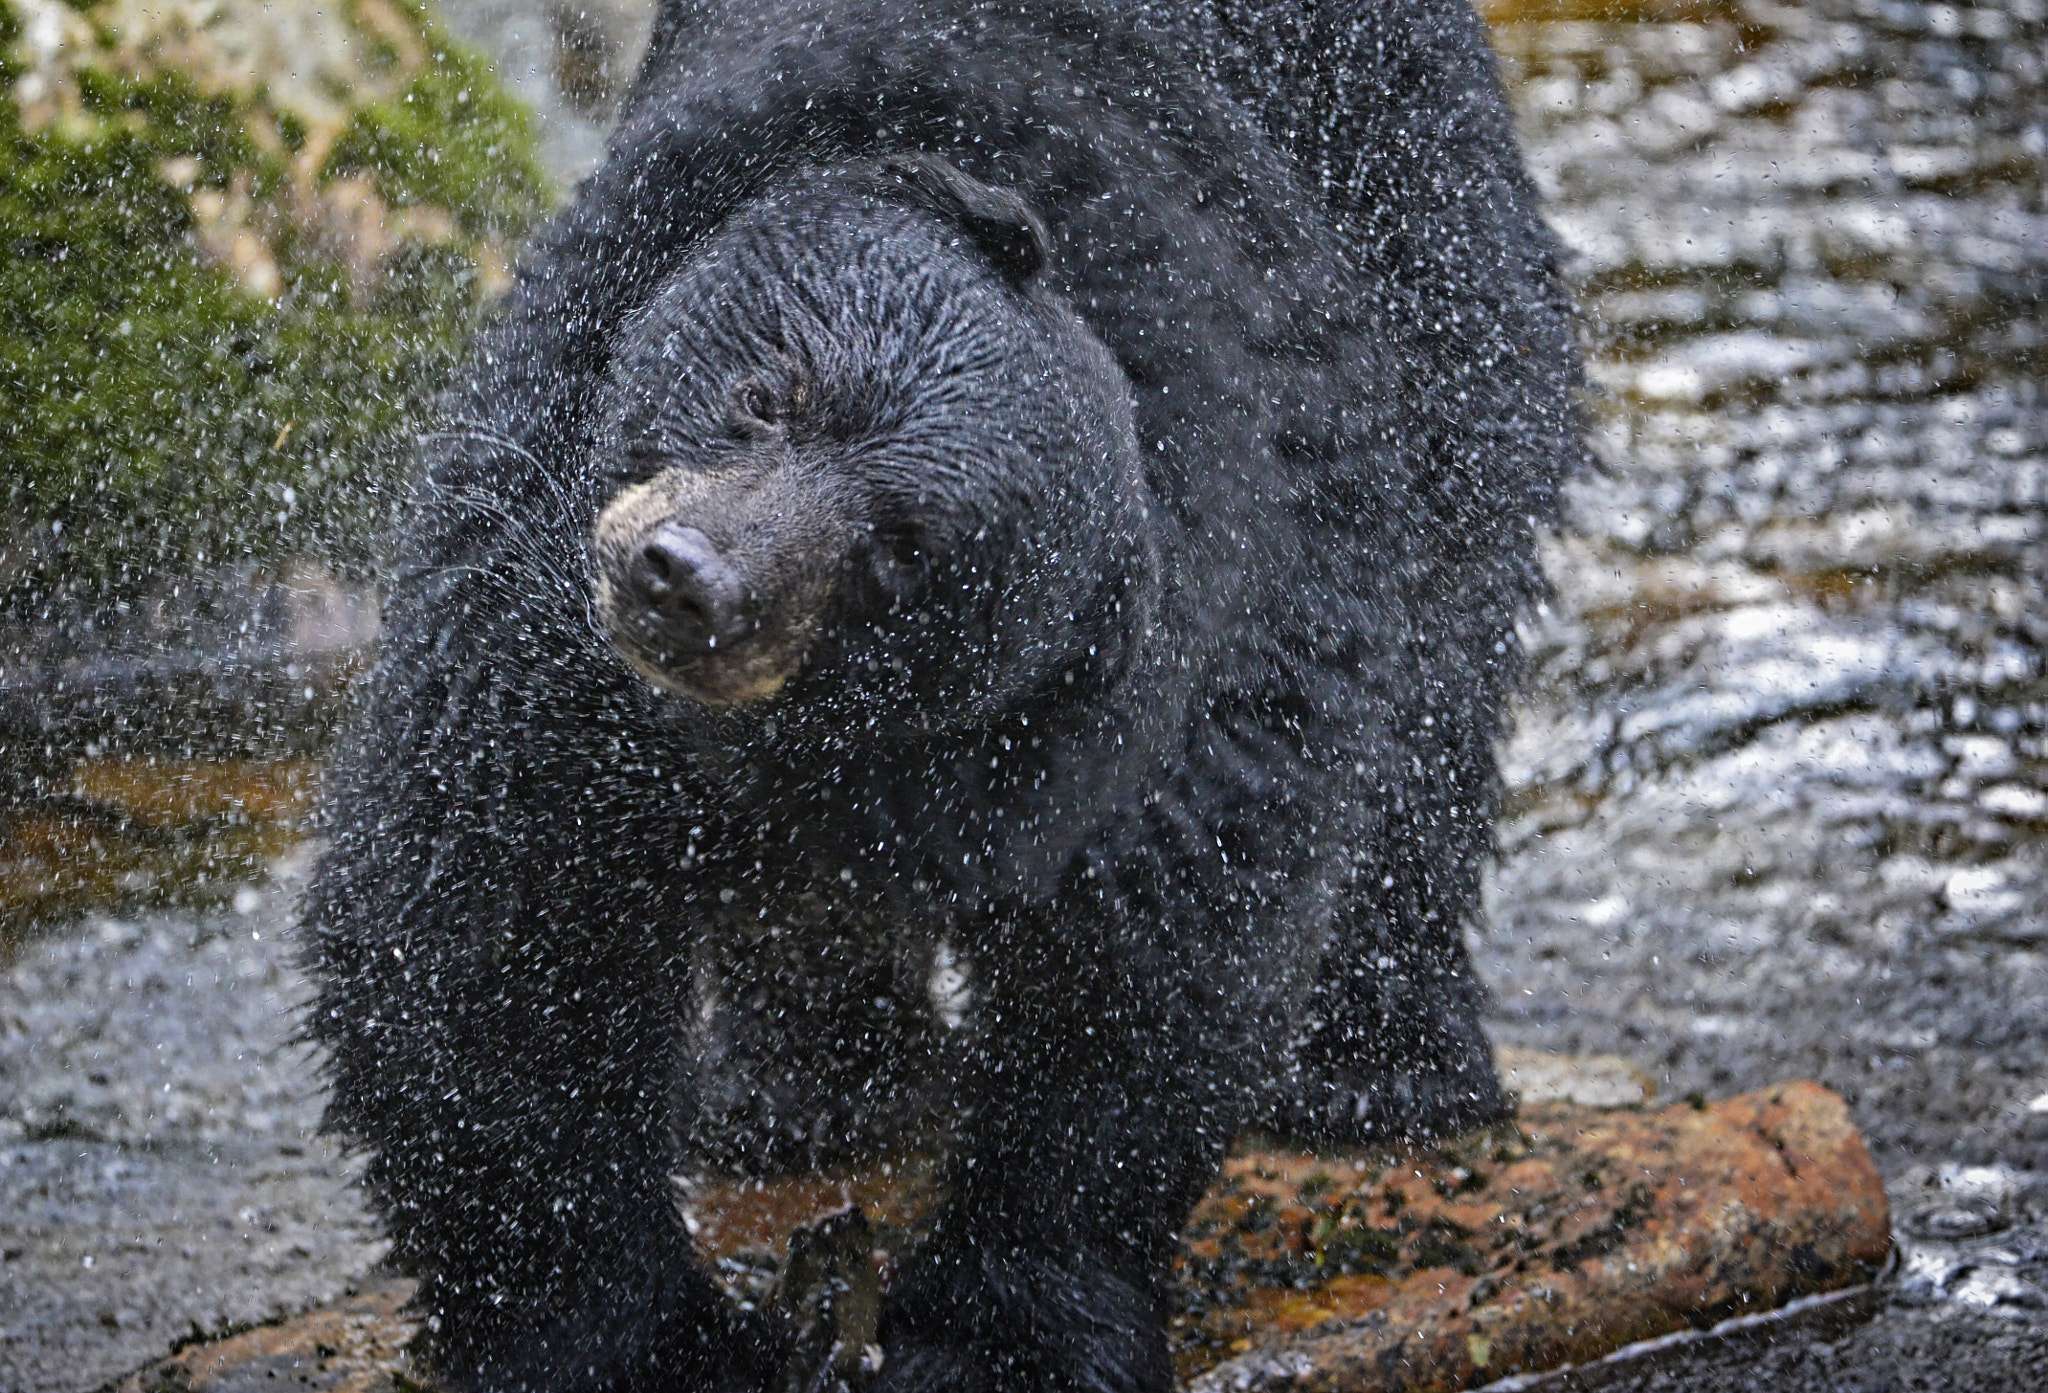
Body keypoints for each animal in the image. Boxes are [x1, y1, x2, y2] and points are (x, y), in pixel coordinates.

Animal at [303, 0, 1581, 1384]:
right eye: (766, 390)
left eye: (900, 547)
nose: (687, 580)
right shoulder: (539, 578)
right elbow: (491, 920)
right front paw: (621, 1332)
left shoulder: (1218, 636)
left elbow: (1146, 977)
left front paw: (1003, 1324)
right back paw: (799, 1097)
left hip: (1433, 271)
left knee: (1435, 682)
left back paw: (1386, 1069)